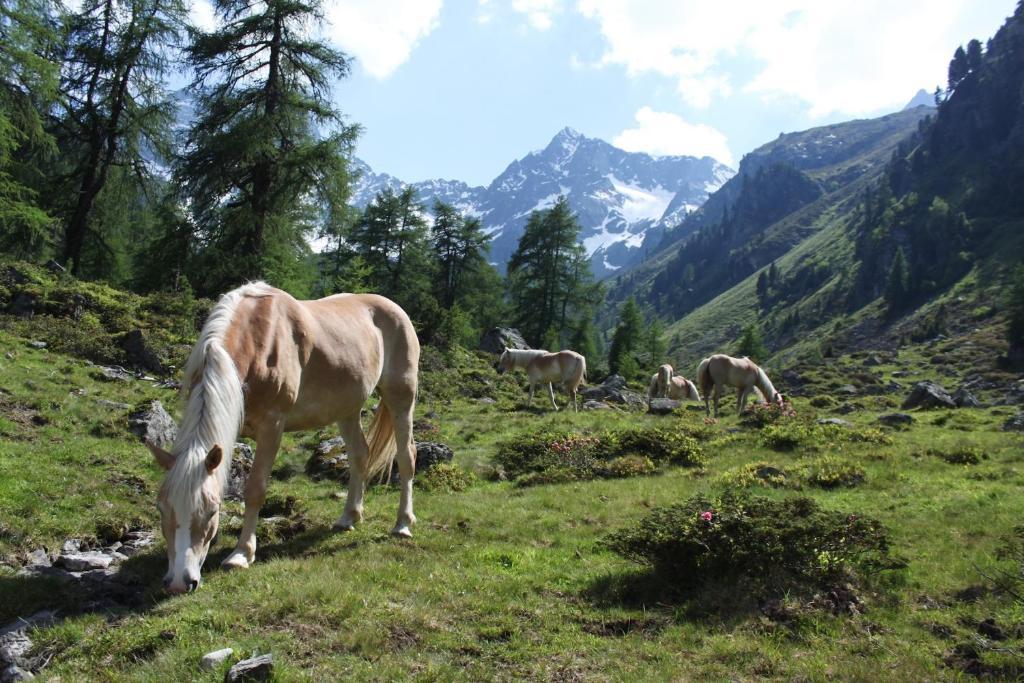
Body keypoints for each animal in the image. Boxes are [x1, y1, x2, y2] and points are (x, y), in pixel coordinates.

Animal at [146, 282, 417, 593]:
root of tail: (396, 310)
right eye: (161, 508)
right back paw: (349, 517)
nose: (180, 582)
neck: (256, 341)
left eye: (212, 511)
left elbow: (255, 489)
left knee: (406, 457)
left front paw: (242, 554)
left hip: (401, 398)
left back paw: (403, 524)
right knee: (360, 455)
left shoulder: (272, 427)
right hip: (347, 408)